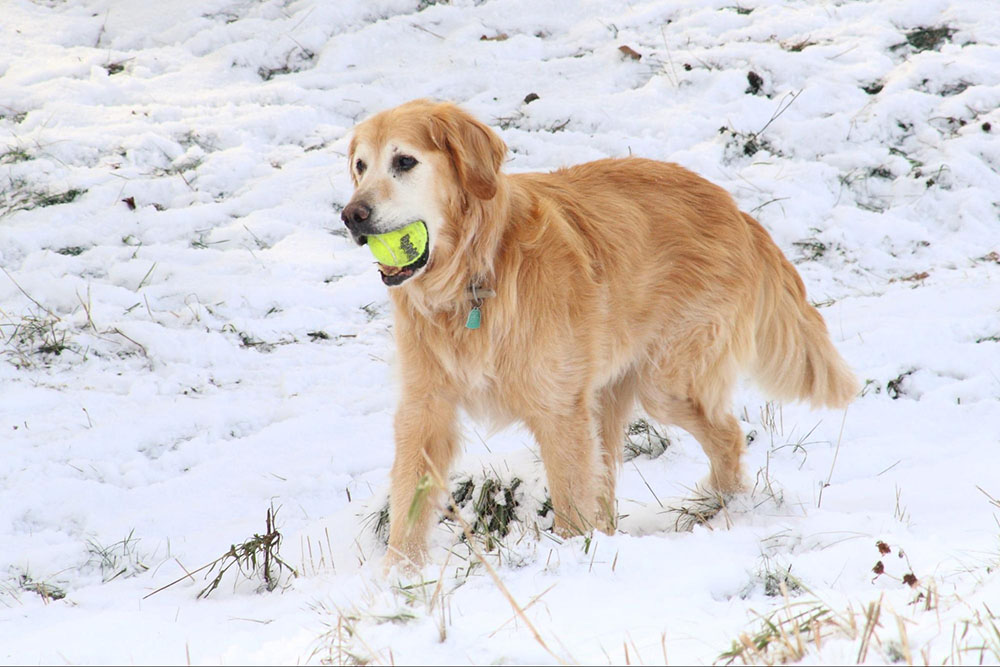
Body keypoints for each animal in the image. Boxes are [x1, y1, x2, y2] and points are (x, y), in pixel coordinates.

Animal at [340, 100, 856, 568]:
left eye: (404, 161)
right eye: (361, 166)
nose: (351, 216)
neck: (475, 273)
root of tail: (735, 209)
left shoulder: (558, 410)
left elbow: (570, 497)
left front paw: (569, 559)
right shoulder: (425, 409)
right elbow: (409, 502)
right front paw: (397, 581)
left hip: (666, 383)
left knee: (727, 434)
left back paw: (724, 508)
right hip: (606, 396)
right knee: (611, 475)